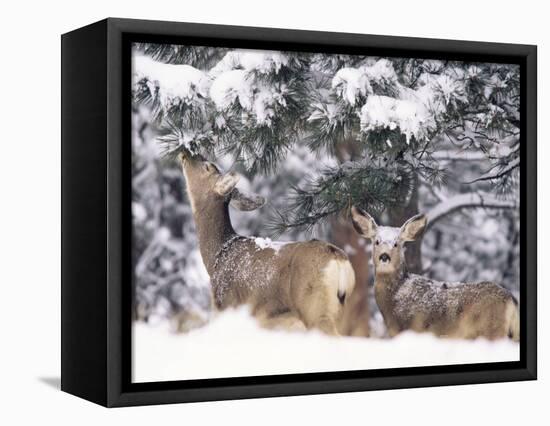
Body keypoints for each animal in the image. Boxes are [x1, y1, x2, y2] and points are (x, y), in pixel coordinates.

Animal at [179, 151, 356, 334]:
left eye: (208, 166)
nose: (186, 152)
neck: (217, 255)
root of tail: (339, 259)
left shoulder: (226, 305)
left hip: (315, 307)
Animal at [352, 208, 520, 342]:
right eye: (377, 241)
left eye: (396, 243)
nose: (384, 256)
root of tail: (511, 300)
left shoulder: (412, 328)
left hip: (491, 329)